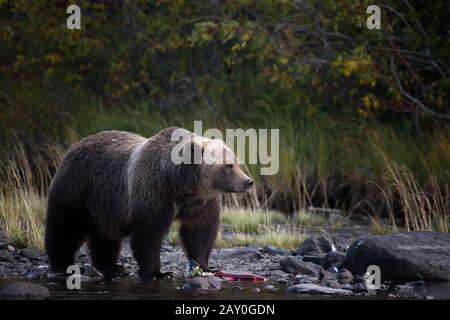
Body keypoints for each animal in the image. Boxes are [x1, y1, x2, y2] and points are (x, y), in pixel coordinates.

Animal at [45, 127, 253, 278]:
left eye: (237, 162)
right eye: (228, 165)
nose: (248, 181)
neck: (181, 186)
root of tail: (74, 146)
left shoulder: (200, 202)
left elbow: (200, 230)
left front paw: (203, 265)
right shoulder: (154, 192)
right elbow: (149, 233)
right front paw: (158, 272)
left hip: (104, 206)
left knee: (105, 237)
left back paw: (110, 266)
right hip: (75, 190)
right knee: (64, 228)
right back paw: (61, 263)